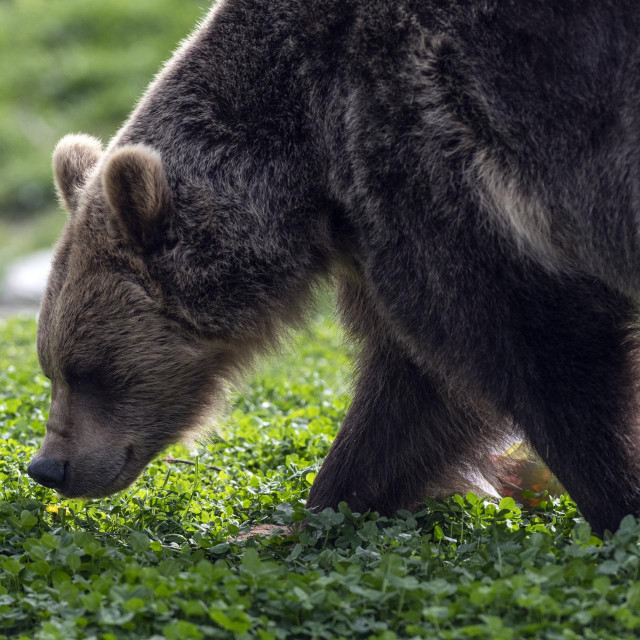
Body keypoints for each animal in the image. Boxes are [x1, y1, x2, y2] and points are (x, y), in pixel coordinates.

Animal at [30, 0, 640, 532]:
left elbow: (530, 352)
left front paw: (618, 503)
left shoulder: (432, 151)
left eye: (91, 370)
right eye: (52, 367)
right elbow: (421, 390)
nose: (48, 467)